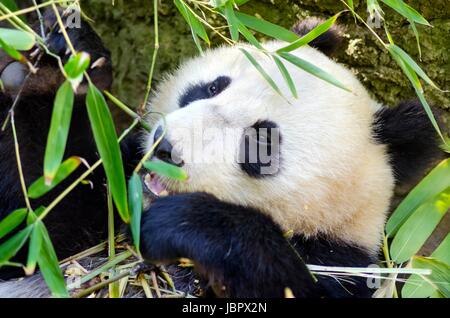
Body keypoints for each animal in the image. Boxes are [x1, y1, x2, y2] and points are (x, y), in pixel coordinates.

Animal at [0, 9, 440, 298]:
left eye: (261, 144)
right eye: (212, 87)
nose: (165, 147)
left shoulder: (342, 263)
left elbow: (286, 280)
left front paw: (182, 222)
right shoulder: (110, 197)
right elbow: (35, 221)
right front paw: (60, 62)